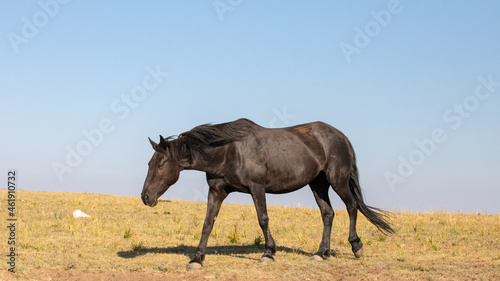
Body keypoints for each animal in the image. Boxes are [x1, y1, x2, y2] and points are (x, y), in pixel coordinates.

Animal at [141, 117, 394, 270]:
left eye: (161, 164)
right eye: (149, 163)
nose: (145, 197)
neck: (229, 151)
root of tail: (341, 136)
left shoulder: (257, 187)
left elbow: (263, 219)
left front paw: (268, 253)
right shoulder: (216, 191)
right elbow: (207, 223)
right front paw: (197, 259)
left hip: (337, 181)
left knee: (351, 207)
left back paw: (356, 246)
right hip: (318, 185)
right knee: (328, 214)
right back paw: (321, 253)